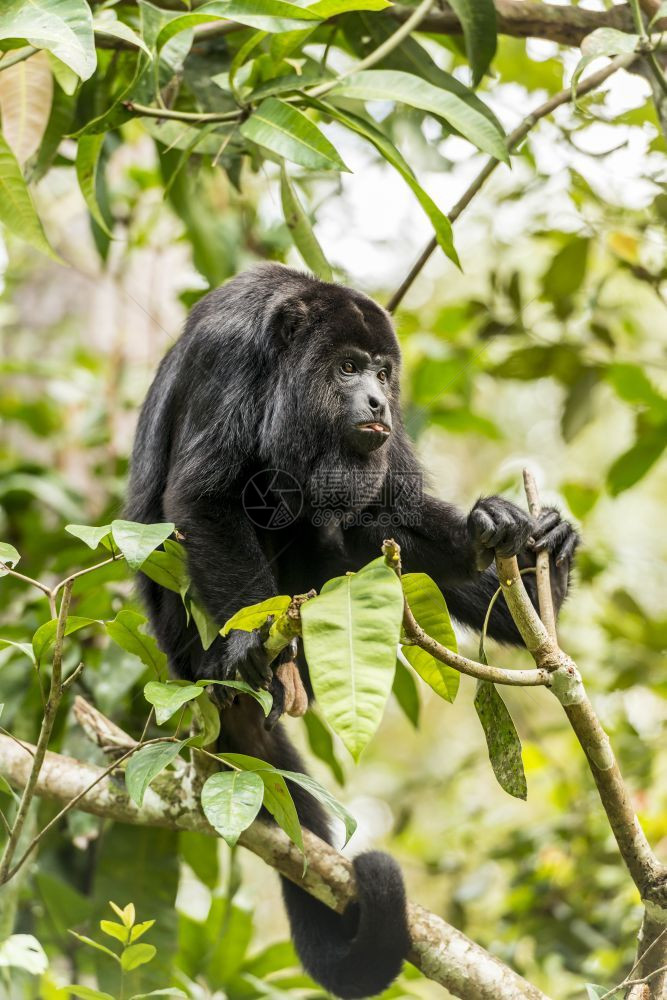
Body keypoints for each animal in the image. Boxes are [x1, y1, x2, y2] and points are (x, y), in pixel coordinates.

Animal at [126, 266, 580, 1000]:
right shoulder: (228, 356)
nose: (376, 400)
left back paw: (537, 577)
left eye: (380, 371)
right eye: (345, 367)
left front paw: (501, 526)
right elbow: (208, 498)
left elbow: (394, 502)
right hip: (186, 632)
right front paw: (248, 648)